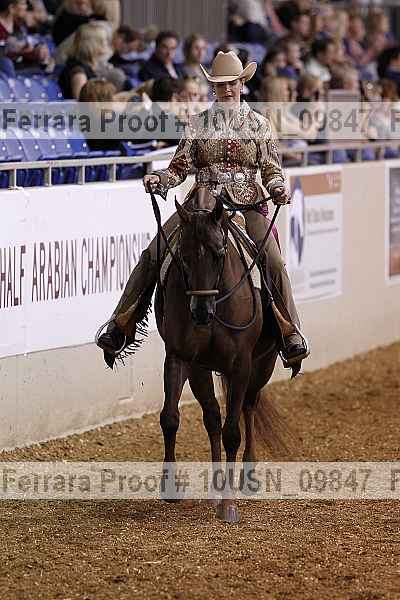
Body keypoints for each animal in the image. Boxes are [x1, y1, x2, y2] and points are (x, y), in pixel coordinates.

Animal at [154, 185, 293, 523]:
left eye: (219, 254)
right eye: (183, 257)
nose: (201, 312)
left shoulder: (240, 365)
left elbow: (233, 432)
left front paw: (228, 504)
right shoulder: (183, 359)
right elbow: (171, 417)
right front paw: (170, 487)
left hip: (263, 364)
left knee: (248, 406)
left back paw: (249, 476)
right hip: (203, 370)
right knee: (213, 418)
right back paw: (217, 482)